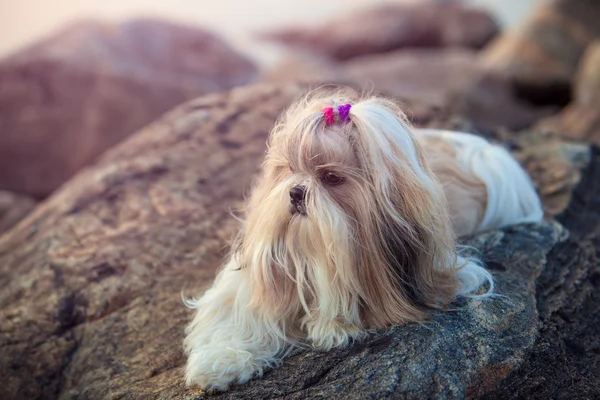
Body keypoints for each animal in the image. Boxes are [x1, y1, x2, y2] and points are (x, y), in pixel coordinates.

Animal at [183, 87, 544, 390]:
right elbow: (241, 310)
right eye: (288, 169)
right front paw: (222, 360)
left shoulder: (447, 271)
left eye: (331, 177)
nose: (296, 192)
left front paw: (334, 322)